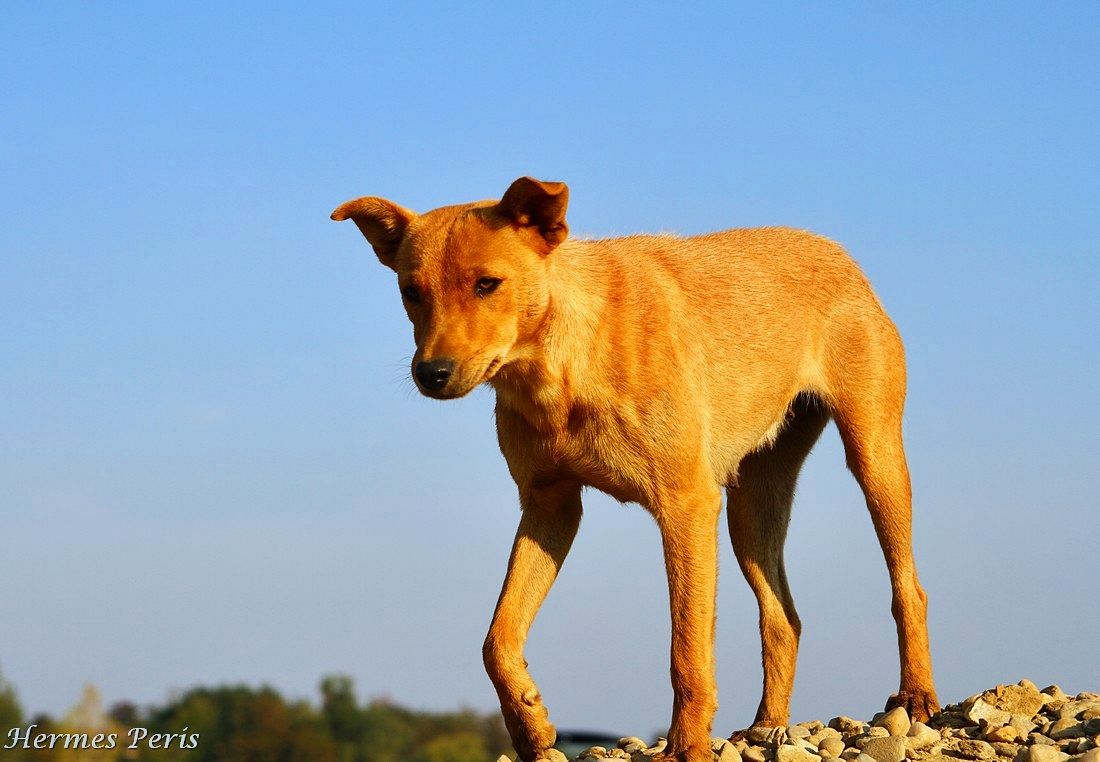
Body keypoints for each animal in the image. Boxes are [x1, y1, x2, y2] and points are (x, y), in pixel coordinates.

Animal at [332, 177, 939, 762]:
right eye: (411, 292)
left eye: (487, 284)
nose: (430, 373)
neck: (563, 363)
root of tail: (837, 252)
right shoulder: (550, 506)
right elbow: (496, 638)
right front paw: (531, 723)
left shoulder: (686, 504)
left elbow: (687, 649)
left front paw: (686, 747)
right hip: (751, 506)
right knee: (782, 617)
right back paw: (766, 726)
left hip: (874, 459)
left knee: (907, 587)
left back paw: (915, 696)